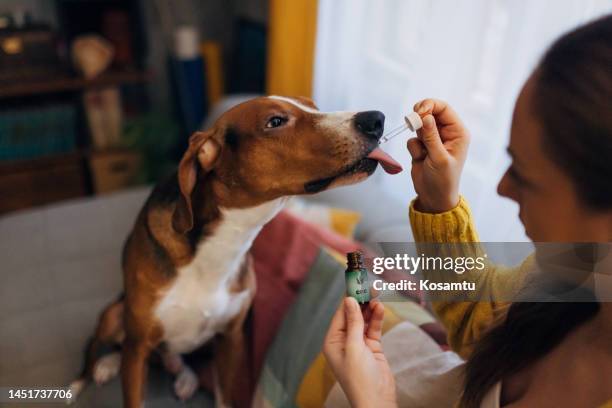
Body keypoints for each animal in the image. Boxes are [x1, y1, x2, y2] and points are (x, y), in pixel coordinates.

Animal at [69, 96, 402, 408]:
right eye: (276, 121)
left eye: (314, 107)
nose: (376, 119)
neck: (224, 244)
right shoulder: (138, 345)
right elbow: (133, 382)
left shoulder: (231, 339)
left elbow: (225, 394)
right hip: (114, 316)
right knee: (103, 347)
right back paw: (97, 370)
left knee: (178, 361)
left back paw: (184, 378)